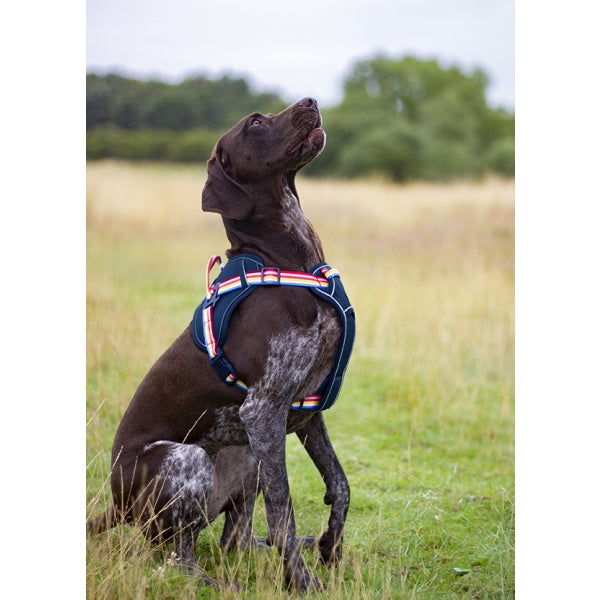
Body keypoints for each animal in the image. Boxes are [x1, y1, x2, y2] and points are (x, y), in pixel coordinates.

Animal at [86, 98, 354, 592]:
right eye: (256, 123)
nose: (310, 101)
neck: (286, 260)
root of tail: (116, 504)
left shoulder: (305, 410)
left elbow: (341, 486)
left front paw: (330, 546)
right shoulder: (264, 410)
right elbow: (283, 511)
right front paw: (300, 581)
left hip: (246, 455)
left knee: (236, 539)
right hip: (190, 459)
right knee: (181, 556)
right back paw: (217, 583)